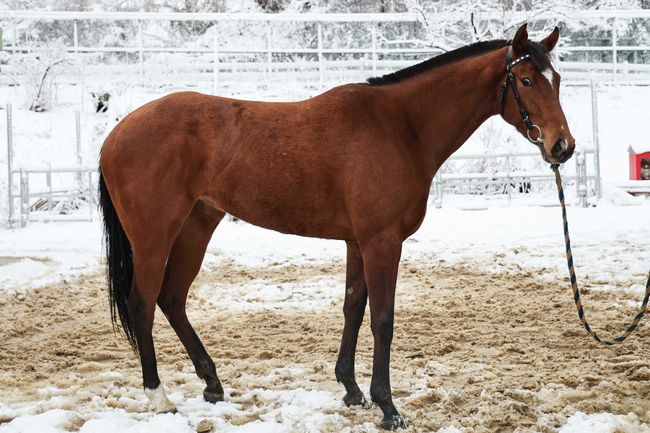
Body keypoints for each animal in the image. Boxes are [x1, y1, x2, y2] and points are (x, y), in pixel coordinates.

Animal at [96, 24, 572, 428]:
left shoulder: (357, 243)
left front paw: (351, 389)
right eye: (525, 81)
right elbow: (382, 319)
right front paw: (388, 407)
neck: (400, 126)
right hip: (154, 238)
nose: (561, 147)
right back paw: (159, 397)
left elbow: (353, 309)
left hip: (197, 226)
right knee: (143, 303)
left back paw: (212, 383)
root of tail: (116, 135)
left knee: (173, 299)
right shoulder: (382, 243)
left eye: (558, 79)